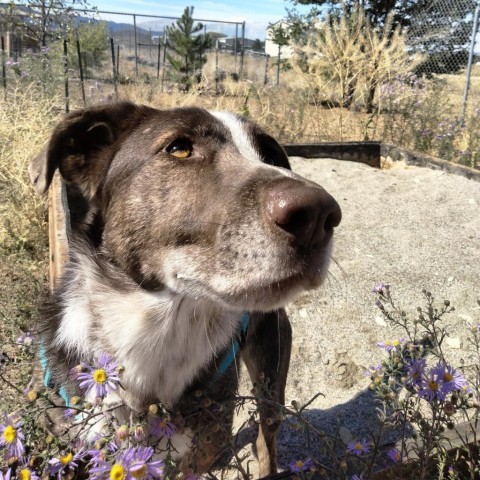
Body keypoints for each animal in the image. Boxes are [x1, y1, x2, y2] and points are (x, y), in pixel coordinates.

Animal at [30, 101, 342, 476]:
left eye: (270, 155)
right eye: (179, 148)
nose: (319, 215)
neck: (160, 330)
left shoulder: (200, 447)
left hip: (271, 373)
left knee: (267, 435)